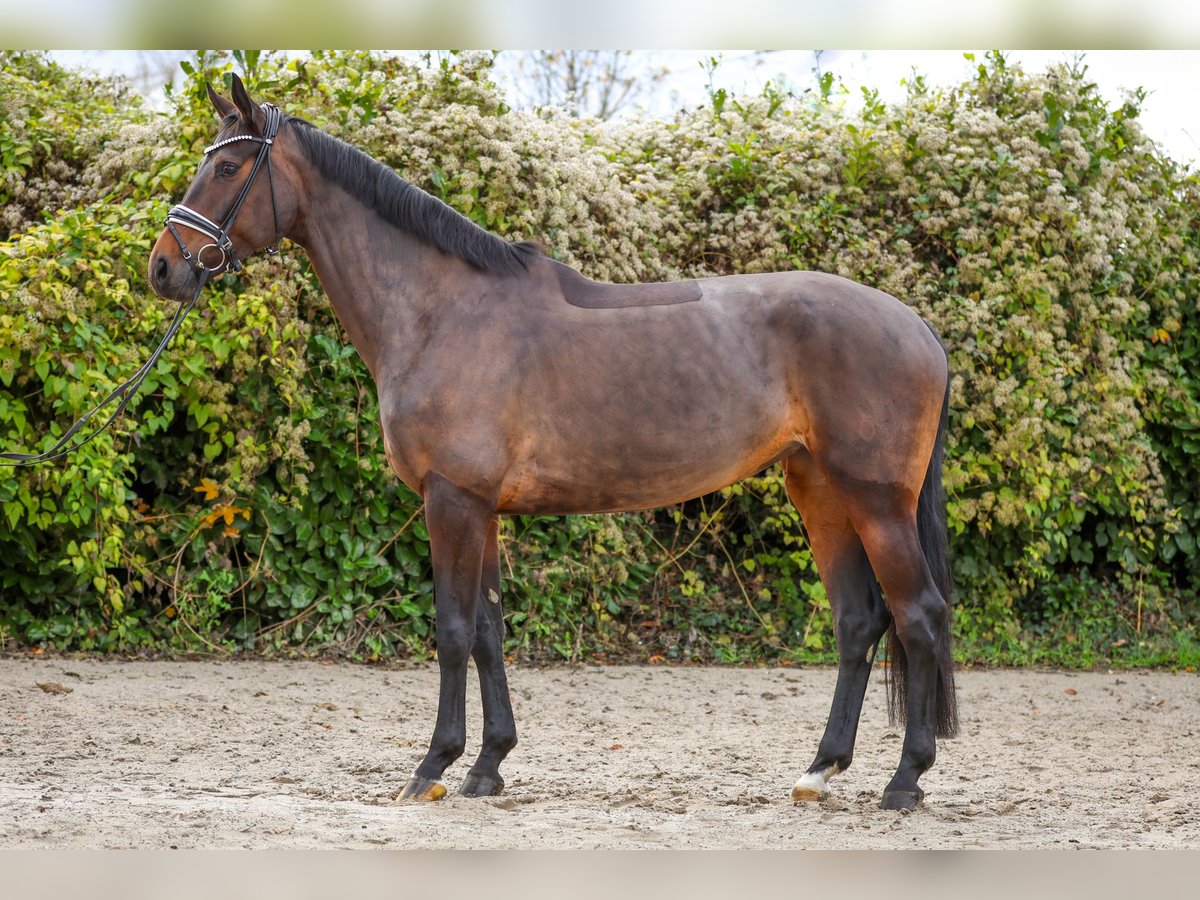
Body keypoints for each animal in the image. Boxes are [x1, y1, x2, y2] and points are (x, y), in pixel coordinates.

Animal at [147, 75, 955, 811]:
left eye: (227, 167)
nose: (163, 266)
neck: (442, 311)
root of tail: (917, 327)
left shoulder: (452, 500)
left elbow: (451, 629)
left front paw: (433, 767)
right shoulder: (483, 508)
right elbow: (488, 630)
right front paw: (488, 766)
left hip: (877, 501)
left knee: (919, 615)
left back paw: (905, 781)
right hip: (817, 489)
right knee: (858, 620)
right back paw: (821, 770)